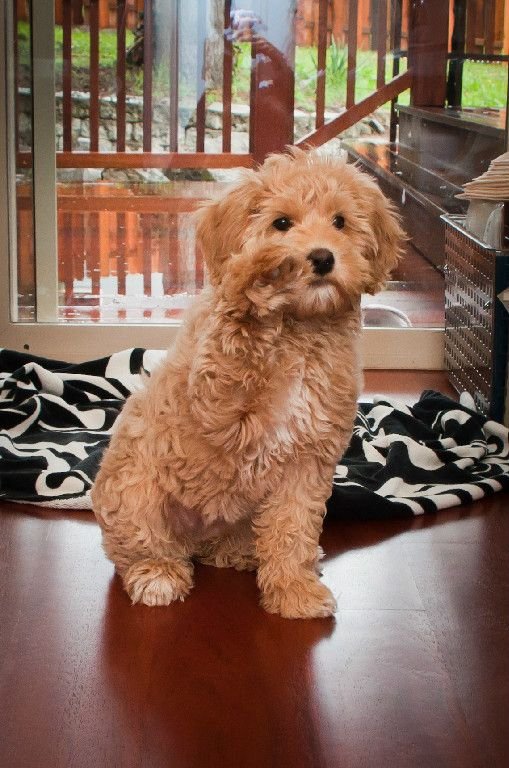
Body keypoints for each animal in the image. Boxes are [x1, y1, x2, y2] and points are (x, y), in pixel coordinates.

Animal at [90, 150, 400, 616]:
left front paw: (293, 590)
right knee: (144, 542)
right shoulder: (215, 402)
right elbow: (236, 341)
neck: (299, 331)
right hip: (136, 489)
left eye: (340, 222)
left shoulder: (307, 460)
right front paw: (257, 285)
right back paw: (157, 573)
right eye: (282, 223)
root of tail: (198, 542)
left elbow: (293, 528)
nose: (321, 257)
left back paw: (245, 551)